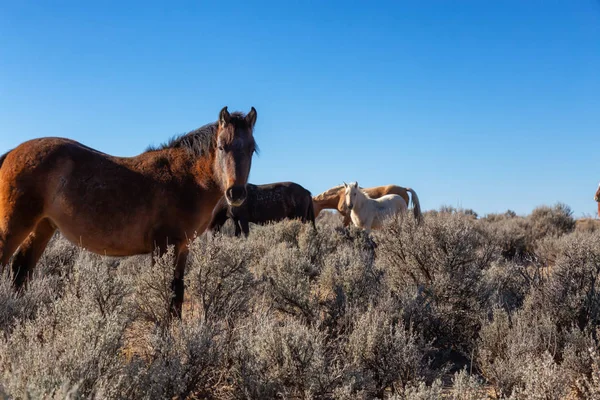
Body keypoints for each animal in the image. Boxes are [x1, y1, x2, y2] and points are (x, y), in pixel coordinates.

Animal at [0, 104, 258, 318]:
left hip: (43, 227)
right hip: (15, 226)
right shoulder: (163, 246)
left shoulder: (183, 247)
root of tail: (13, 152)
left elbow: (177, 294)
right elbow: (164, 292)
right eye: (221, 146)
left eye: (251, 149)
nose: (236, 193)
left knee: (21, 270)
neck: (186, 178)